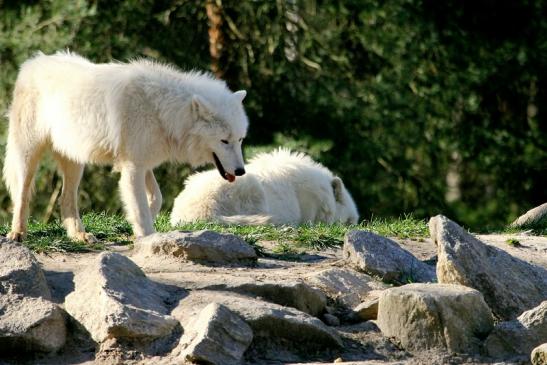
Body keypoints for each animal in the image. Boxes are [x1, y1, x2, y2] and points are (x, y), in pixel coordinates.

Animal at [3, 49, 248, 240]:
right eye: (224, 141)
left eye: (240, 139)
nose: (241, 171)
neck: (163, 111)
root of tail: (33, 61)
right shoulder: (133, 167)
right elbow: (140, 207)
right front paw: (147, 237)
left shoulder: (143, 163)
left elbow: (156, 198)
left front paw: (137, 226)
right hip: (28, 156)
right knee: (22, 195)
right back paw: (17, 233)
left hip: (75, 163)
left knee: (66, 199)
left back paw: (79, 235)